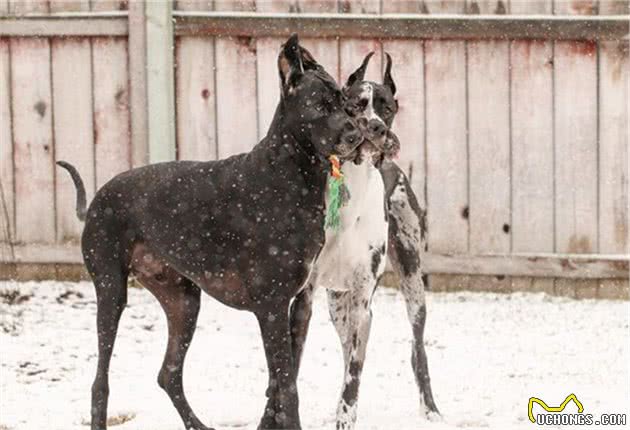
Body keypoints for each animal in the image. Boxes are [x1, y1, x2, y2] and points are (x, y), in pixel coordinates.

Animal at [56, 35, 362, 430]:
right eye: (319, 106)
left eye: (344, 101)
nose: (356, 135)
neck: (290, 174)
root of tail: (96, 200)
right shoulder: (272, 305)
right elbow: (286, 387)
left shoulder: (296, 306)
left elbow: (280, 383)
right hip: (111, 291)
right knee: (100, 381)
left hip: (184, 300)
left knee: (168, 374)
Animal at [290, 52, 442, 428]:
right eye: (354, 104)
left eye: (386, 107)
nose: (376, 128)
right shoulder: (305, 298)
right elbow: (292, 367)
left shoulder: (363, 302)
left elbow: (354, 372)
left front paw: (345, 416)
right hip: (336, 304)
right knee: (347, 350)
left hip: (412, 282)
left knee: (416, 349)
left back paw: (430, 410)